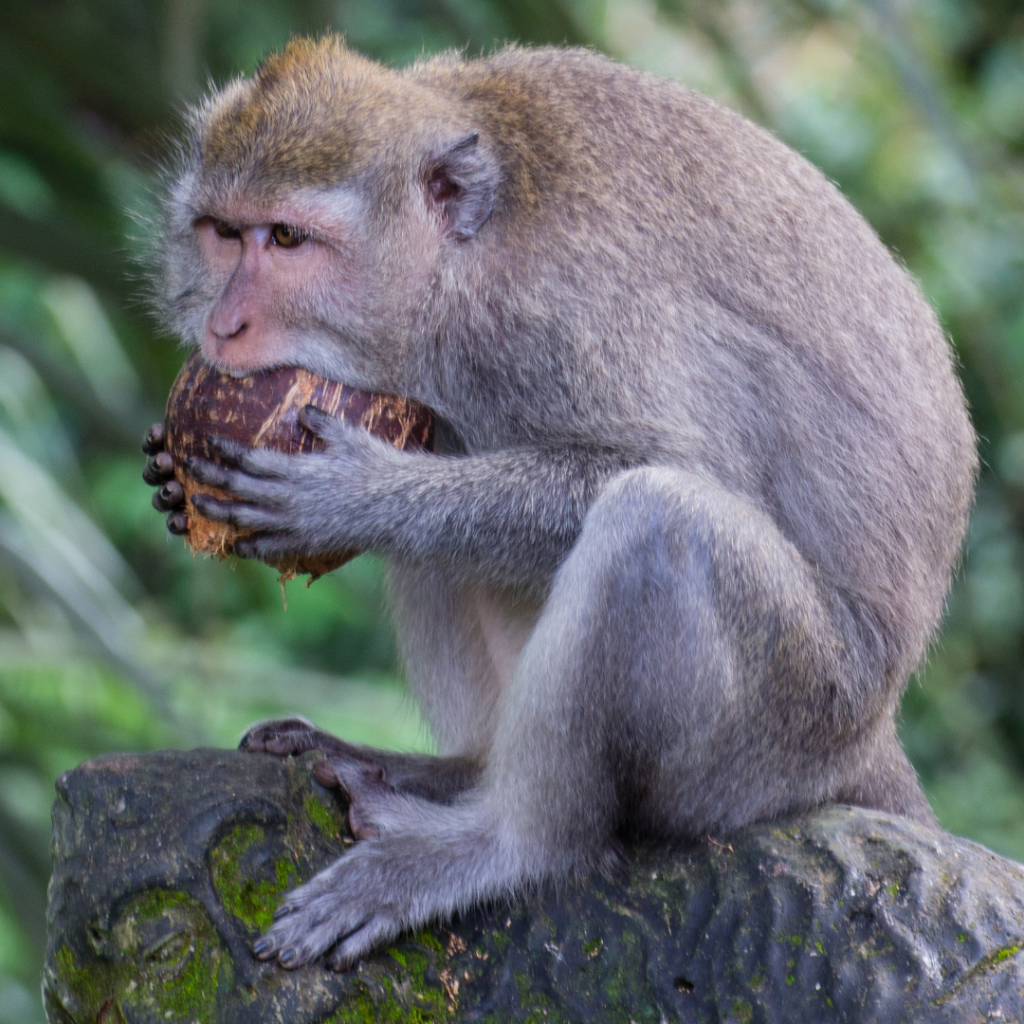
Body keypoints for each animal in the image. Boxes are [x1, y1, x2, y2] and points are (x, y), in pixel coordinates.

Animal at [142, 36, 974, 970]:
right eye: (222, 234)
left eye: (286, 239)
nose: (223, 325)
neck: (464, 261)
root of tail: (874, 731)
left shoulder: (561, 320)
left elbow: (667, 463)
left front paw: (356, 496)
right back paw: (455, 772)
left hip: (784, 735)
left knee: (657, 521)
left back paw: (510, 844)